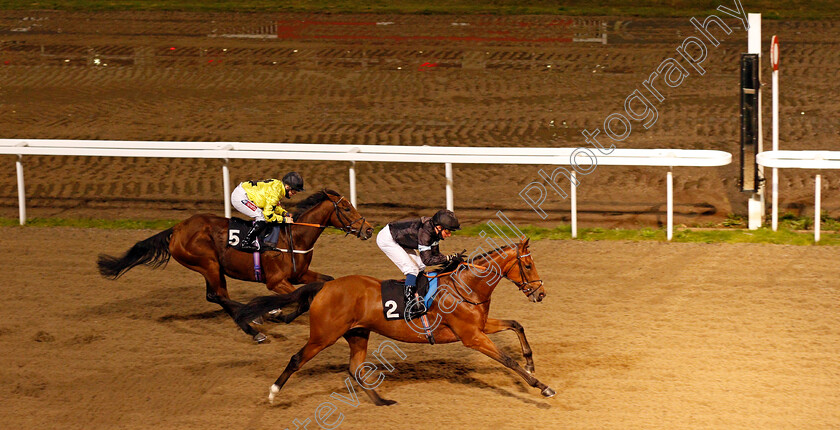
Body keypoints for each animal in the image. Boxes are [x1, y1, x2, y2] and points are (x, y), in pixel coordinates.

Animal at [98, 188, 374, 342]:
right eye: (346, 208)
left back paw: (255, 319)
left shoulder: (301, 273)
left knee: (216, 296)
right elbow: (302, 298)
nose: (369, 229)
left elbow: (325, 282)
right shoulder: (276, 282)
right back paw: (253, 323)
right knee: (218, 296)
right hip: (207, 263)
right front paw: (278, 314)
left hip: (212, 268)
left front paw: (278, 313)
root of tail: (176, 229)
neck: (294, 236)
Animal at [236, 237, 556, 404]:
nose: (540, 293)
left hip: (357, 333)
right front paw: (541, 386)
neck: (467, 286)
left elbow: (516, 324)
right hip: (323, 335)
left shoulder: (479, 327)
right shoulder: (472, 336)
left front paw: (530, 362)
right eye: (528, 265)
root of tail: (325, 287)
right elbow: (508, 360)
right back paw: (273, 393)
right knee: (296, 359)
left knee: (355, 368)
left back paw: (381, 401)